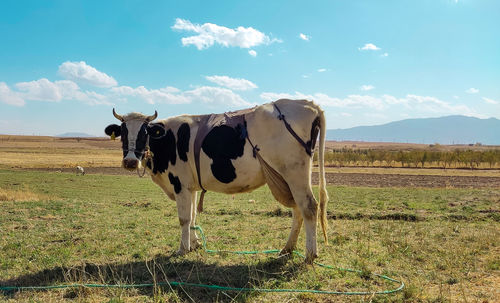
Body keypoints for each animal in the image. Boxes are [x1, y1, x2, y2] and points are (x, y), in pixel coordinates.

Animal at [103, 100, 326, 264]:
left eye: (144, 133)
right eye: (123, 133)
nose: (130, 161)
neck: (167, 139)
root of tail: (307, 103)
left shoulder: (179, 184)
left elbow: (184, 218)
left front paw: (182, 249)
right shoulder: (190, 186)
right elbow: (193, 216)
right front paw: (194, 245)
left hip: (294, 174)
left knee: (309, 207)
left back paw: (309, 254)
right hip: (288, 178)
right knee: (297, 210)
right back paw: (288, 249)